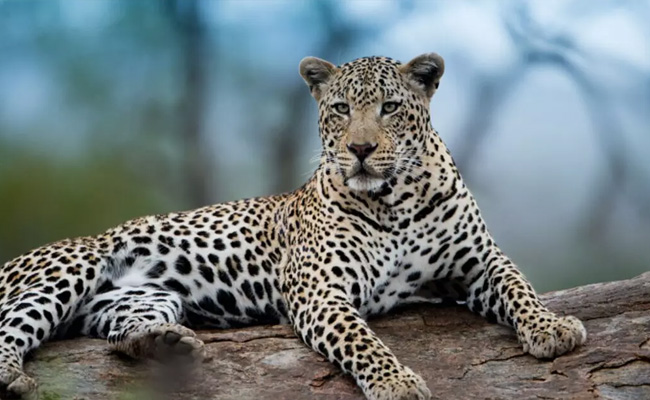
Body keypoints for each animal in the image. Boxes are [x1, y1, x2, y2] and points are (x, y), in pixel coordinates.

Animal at [0, 53, 586, 400]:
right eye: (341, 108)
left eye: (390, 107)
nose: (360, 149)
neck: (396, 201)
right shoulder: (319, 288)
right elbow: (360, 339)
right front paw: (395, 381)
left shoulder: (479, 261)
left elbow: (518, 284)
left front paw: (552, 327)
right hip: (70, 266)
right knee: (11, 328)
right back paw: (13, 376)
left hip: (139, 298)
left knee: (119, 335)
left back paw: (164, 344)